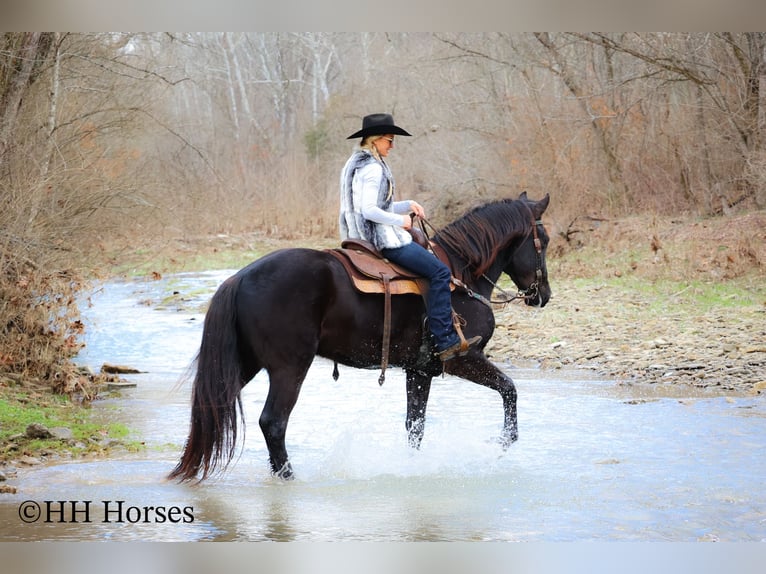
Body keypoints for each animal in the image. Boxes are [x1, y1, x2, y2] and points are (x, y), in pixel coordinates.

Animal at [168, 192, 551, 482]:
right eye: (543, 241)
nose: (543, 295)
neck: (461, 275)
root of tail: (240, 277)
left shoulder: (420, 371)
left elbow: (415, 427)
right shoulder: (462, 359)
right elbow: (509, 389)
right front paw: (504, 442)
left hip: (245, 363)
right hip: (289, 368)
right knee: (274, 423)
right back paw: (288, 478)